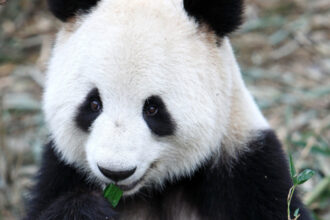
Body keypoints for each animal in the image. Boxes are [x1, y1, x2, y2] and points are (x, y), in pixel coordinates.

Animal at [24, 0, 310, 220]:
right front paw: (86, 208)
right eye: (93, 103)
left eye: (152, 109)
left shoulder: (249, 170)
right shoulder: (60, 171)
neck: (150, 190)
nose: (115, 171)